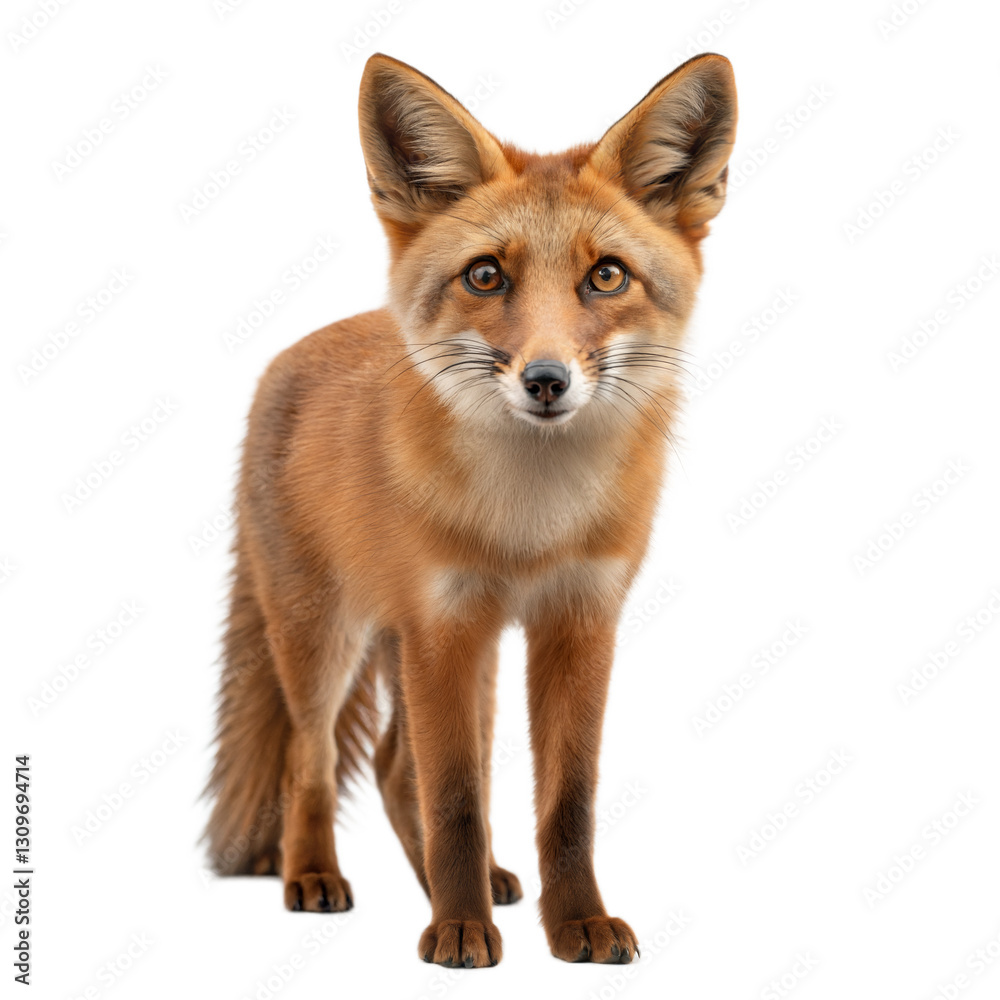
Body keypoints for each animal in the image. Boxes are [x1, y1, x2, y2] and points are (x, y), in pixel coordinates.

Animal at [204, 51, 737, 968]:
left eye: (607, 275)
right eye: (487, 275)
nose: (547, 380)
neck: (530, 523)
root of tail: (290, 355)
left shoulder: (578, 621)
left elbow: (566, 803)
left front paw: (577, 925)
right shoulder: (442, 625)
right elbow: (454, 797)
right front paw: (457, 933)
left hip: (457, 654)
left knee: (391, 768)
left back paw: (473, 884)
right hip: (326, 637)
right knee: (313, 761)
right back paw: (317, 877)